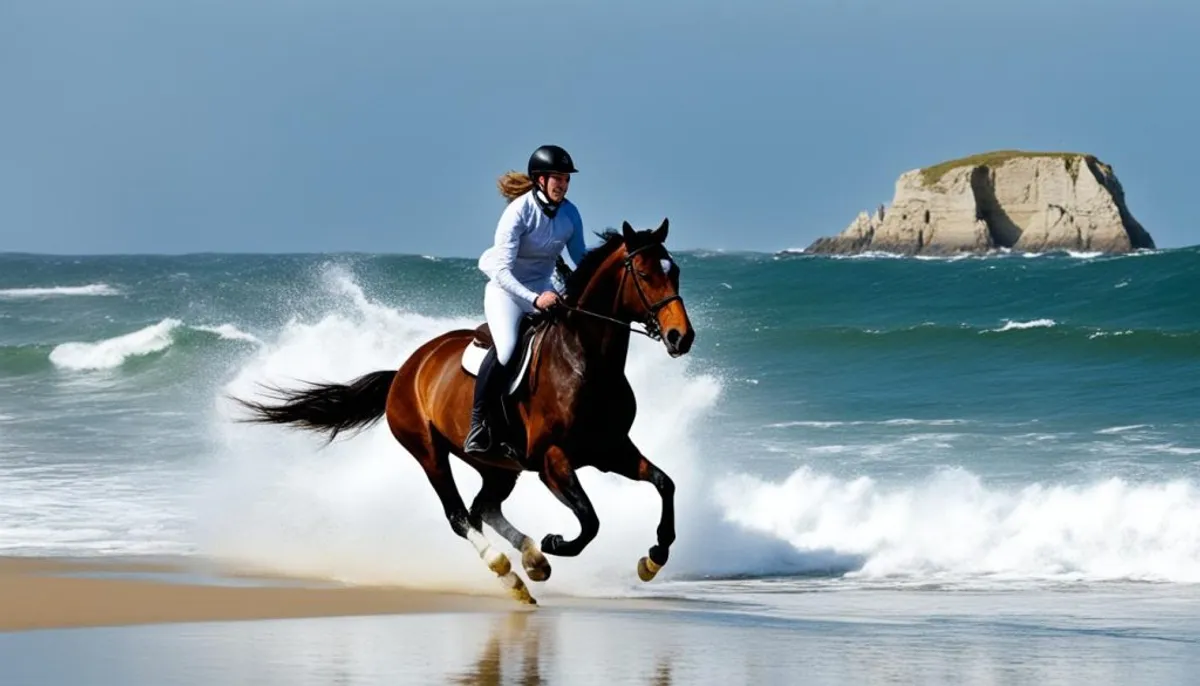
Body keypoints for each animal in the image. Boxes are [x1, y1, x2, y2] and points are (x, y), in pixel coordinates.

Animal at [229, 217, 696, 602]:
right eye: (644, 273)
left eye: (674, 270)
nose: (681, 337)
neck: (584, 361)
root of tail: (407, 368)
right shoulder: (553, 460)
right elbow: (590, 521)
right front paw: (555, 543)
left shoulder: (609, 450)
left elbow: (665, 484)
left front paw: (652, 558)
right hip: (429, 452)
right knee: (458, 515)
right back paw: (509, 570)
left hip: (497, 465)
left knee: (482, 508)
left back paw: (531, 562)